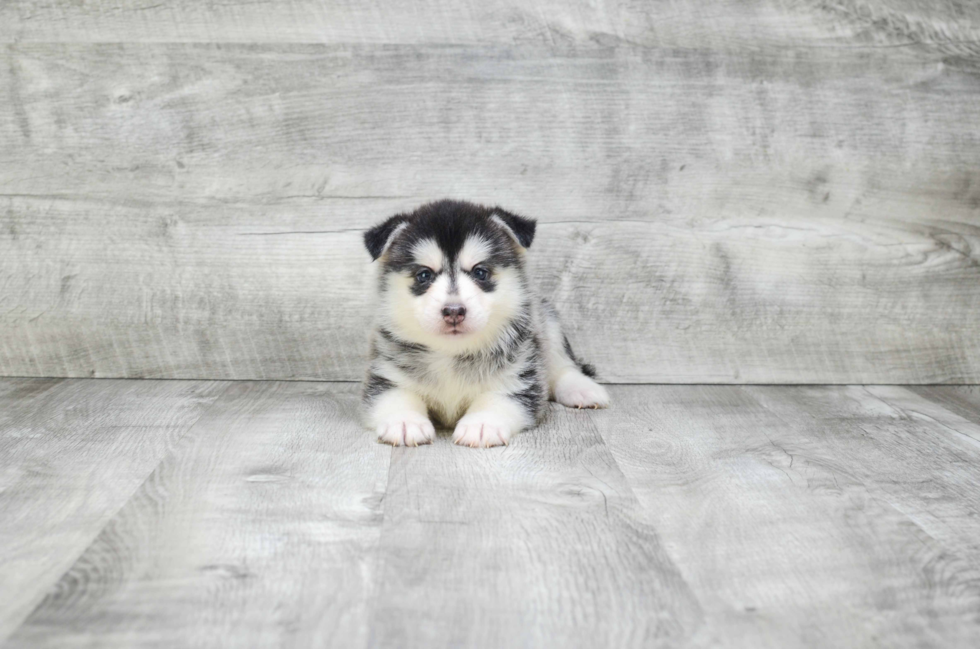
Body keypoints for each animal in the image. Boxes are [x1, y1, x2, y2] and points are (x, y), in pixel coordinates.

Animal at [362, 200, 604, 448]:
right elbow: (398, 396)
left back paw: (582, 389)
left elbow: (497, 397)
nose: (454, 311)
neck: (451, 353)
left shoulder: (520, 376)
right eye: (424, 275)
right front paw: (404, 421)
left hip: (547, 322)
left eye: (480, 272)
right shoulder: (386, 375)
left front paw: (481, 424)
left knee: (563, 365)